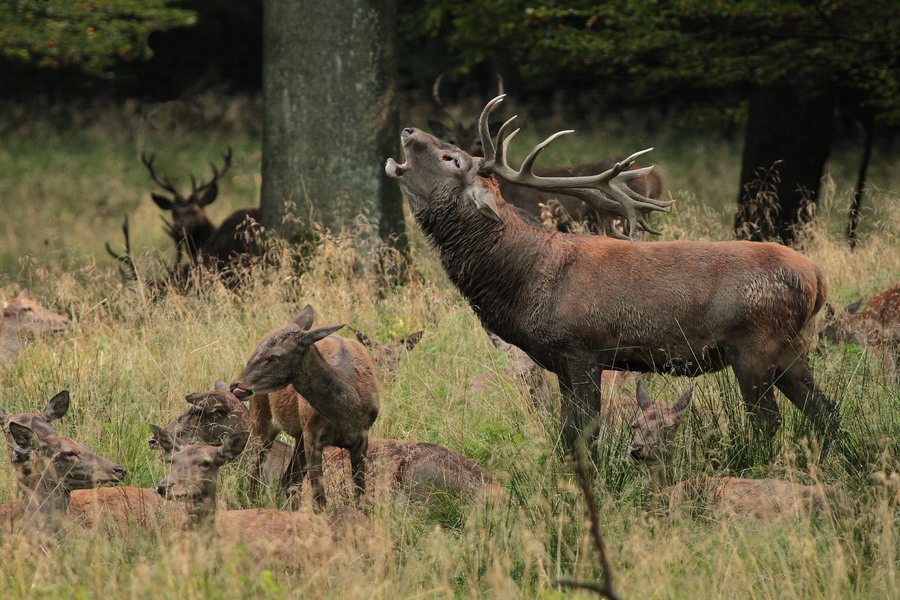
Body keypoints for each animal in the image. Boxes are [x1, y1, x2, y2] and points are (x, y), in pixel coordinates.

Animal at [230, 308, 382, 508]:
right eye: (255, 356)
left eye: (274, 356)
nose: (236, 385)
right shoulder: (312, 435)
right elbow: (319, 499)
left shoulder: (362, 437)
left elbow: (360, 495)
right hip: (261, 416)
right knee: (255, 469)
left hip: (298, 435)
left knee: (288, 479)